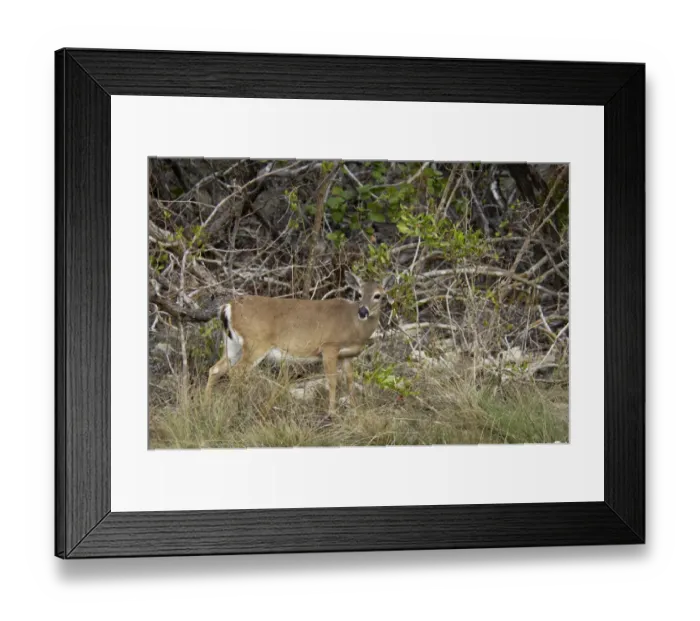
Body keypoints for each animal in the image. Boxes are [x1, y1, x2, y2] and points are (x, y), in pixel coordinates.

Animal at [204, 272, 395, 422]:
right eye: (359, 294)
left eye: (378, 295)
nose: (363, 311)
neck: (353, 325)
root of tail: (228, 307)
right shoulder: (329, 346)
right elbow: (332, 381)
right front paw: (332, 413)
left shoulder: (346, 355)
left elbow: (349, 381)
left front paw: (355, 411)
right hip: (255, 343)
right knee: (236, 372)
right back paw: (239, 408)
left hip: (232, 344)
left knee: (215, 369)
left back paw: (207, 406)